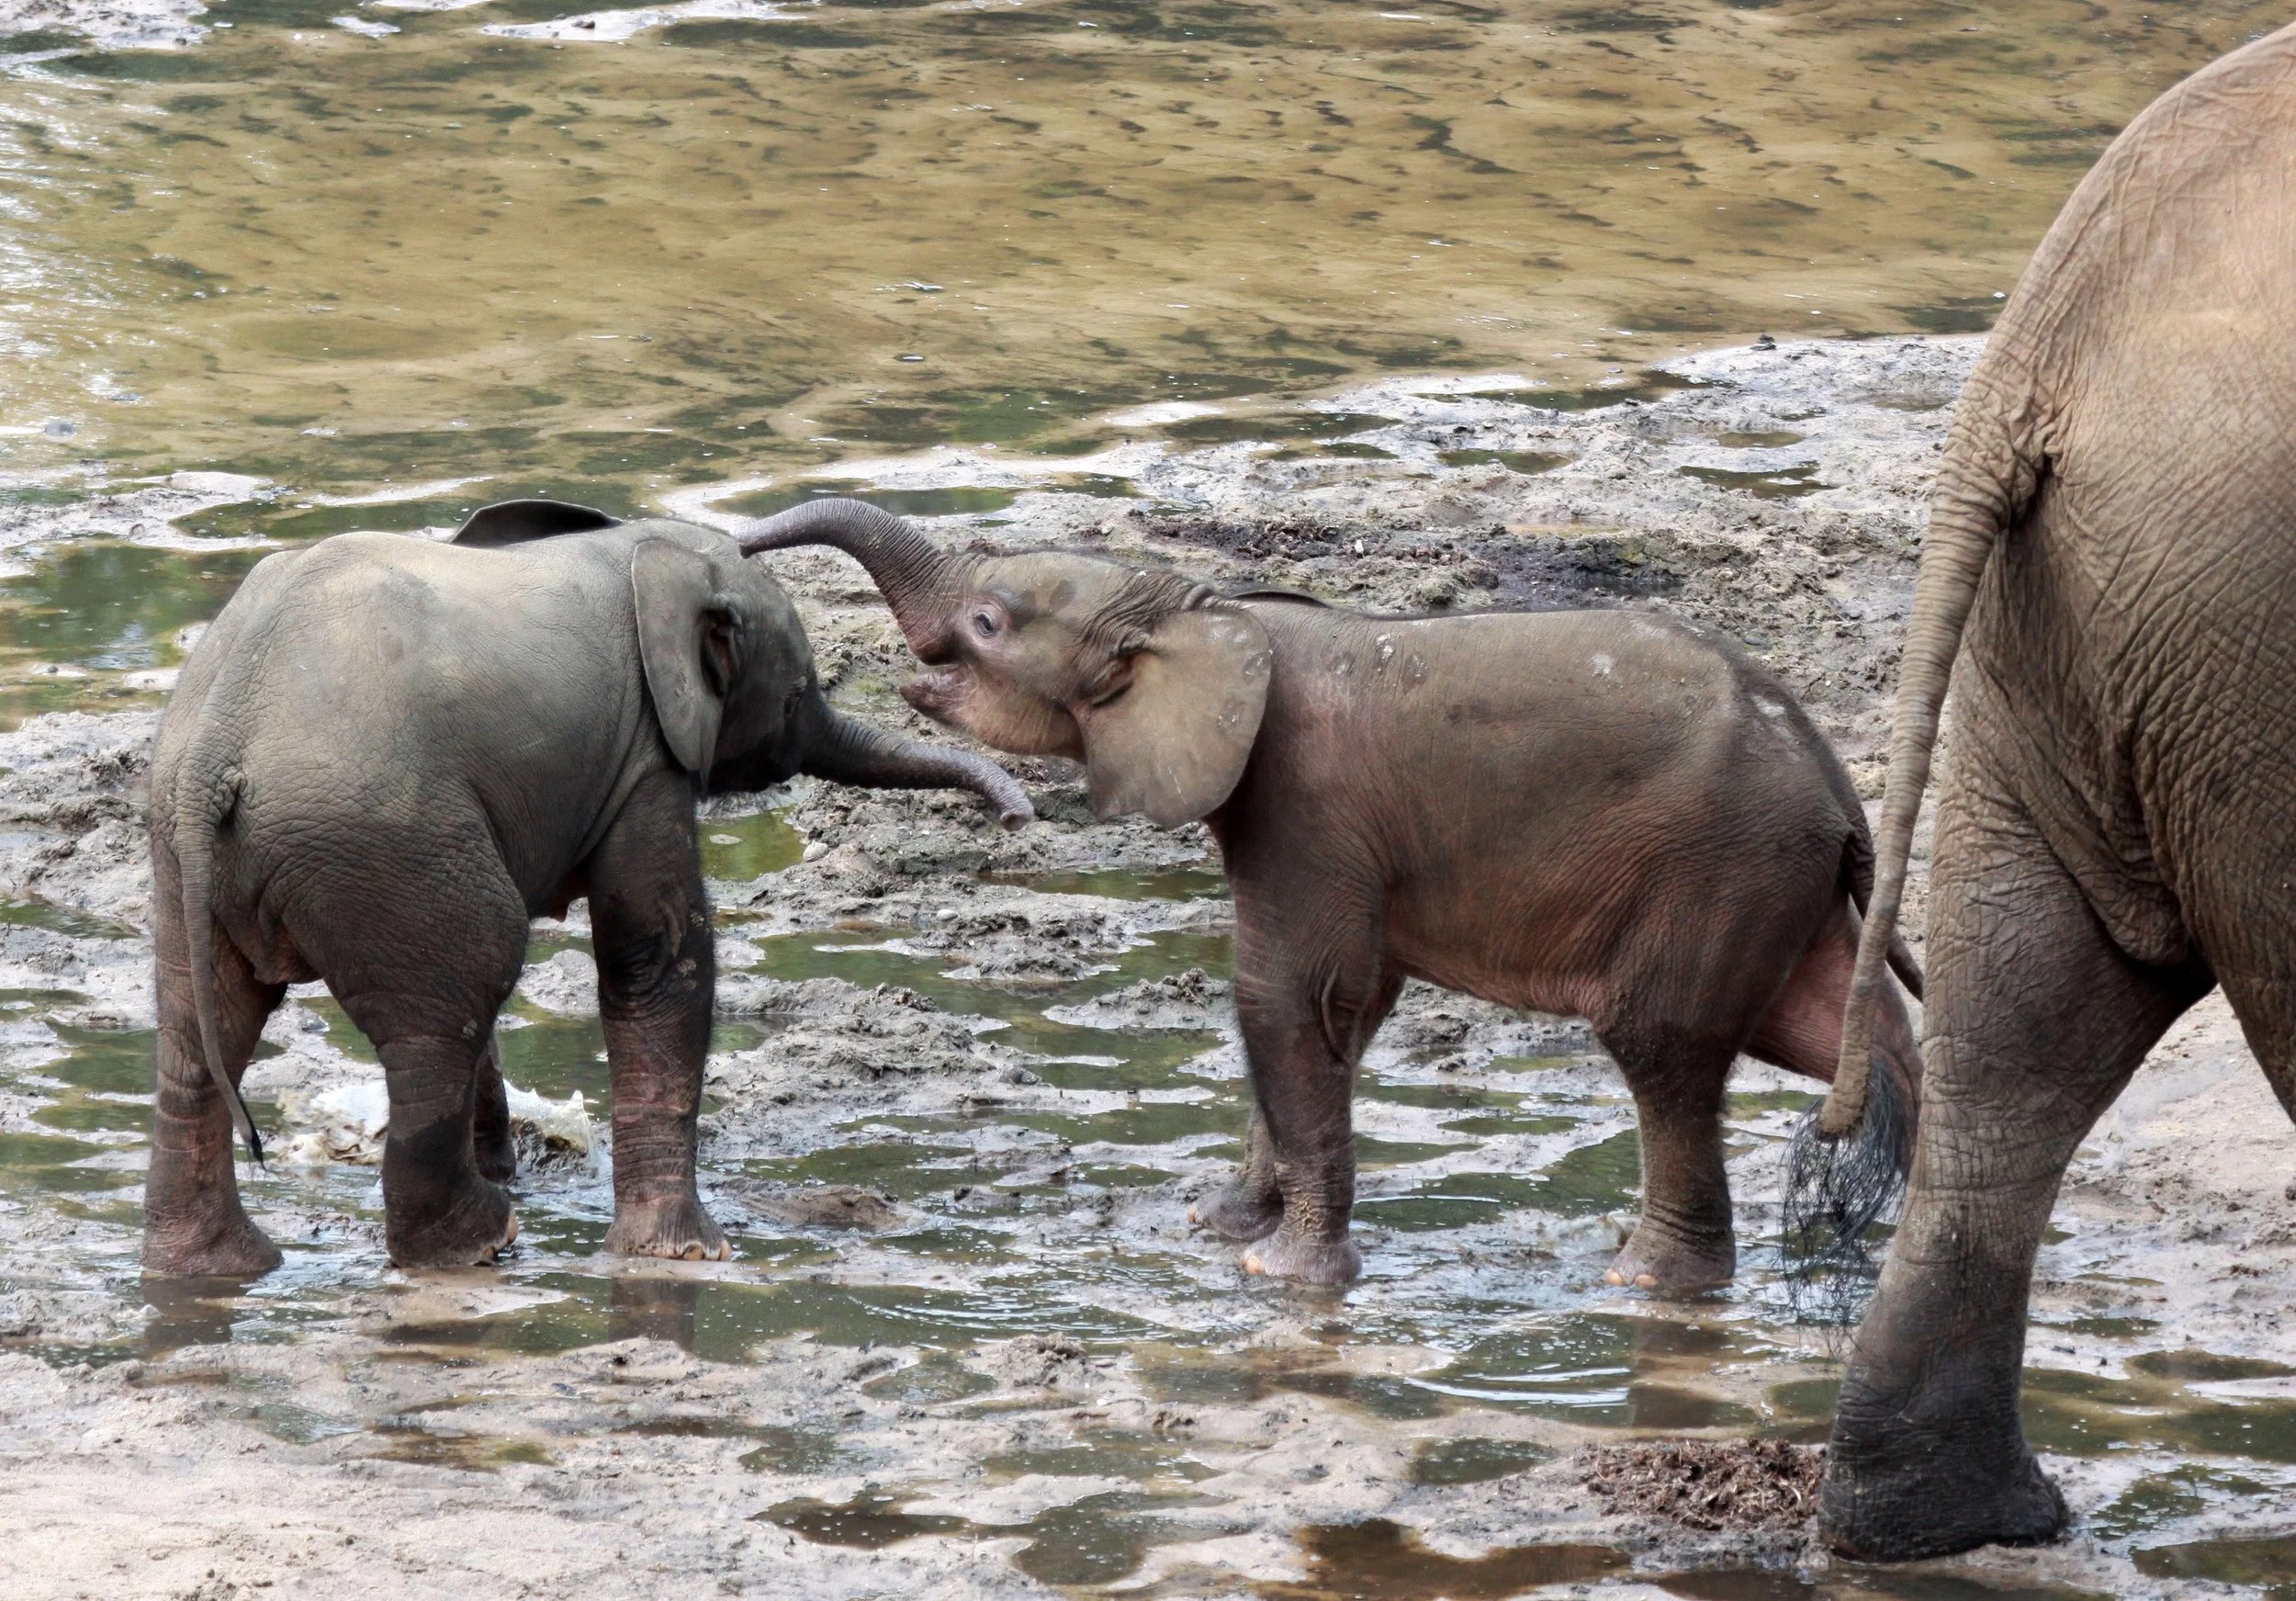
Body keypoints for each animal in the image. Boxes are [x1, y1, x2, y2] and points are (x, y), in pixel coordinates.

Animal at [144, 499, 1031, 1276]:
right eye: (799, 692)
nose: (1016, 816)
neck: (649, 553)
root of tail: (220, 742)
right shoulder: (648, 754)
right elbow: (654, 956)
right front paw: (688, 1254)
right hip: (378, 834)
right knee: (456, 1000)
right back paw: (480, 1244)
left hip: (199, 853)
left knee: (198, 1041)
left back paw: (216, 1266)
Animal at [740, 500, 1924, 1291]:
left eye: (988, 623)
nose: (736, 546)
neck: (1206, 612)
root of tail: (1839, 799)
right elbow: (1343, 1014)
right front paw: (1217, 1225)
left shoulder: (1302, 801)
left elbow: (1281, 996)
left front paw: (1280, 1274)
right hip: (1773, 882)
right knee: (1845, 1036)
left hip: (1716, 867)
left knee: (1663, 1046)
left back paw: (1646, 1283)